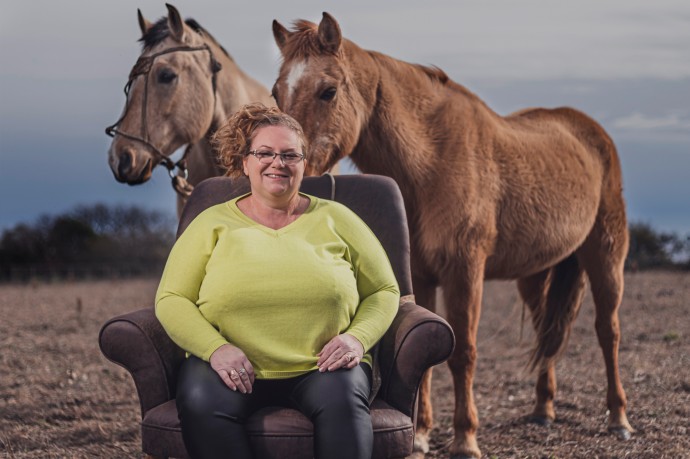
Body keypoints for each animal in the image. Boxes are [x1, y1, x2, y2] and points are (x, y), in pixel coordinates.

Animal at [272, 12, 632, 458]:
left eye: (328, 91)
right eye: (277, 93)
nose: (292, 168)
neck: (432, 161)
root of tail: (592, 132)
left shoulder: (465, 272)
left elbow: (462, 354)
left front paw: (465, 438)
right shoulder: (423, 277)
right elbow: (426, 360)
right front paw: (423, 434)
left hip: (606, 256)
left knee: (608, 331)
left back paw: (618, 418)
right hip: (535, 275)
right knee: (546, 333)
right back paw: (543, 410)